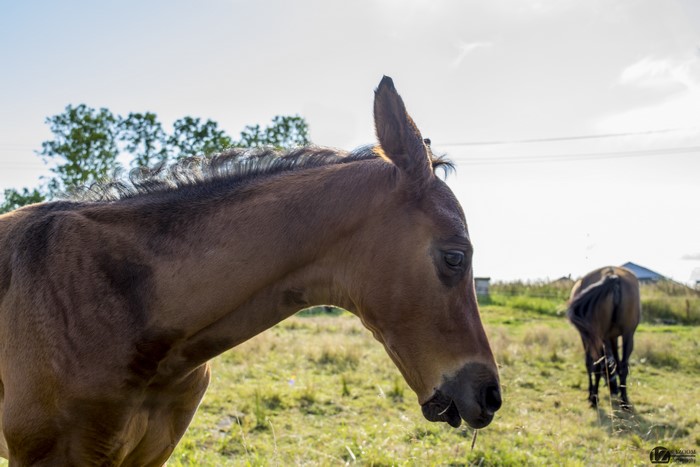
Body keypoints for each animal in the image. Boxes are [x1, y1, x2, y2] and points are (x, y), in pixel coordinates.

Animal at [567, 266, 641, 410]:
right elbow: (616, 361)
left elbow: (590, 364)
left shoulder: (587, 338)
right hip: (628, 334)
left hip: (597, 335)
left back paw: (594, 398)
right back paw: (624, 401)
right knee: (624, 366)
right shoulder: (613, 337)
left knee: (597, 365)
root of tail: (612, 275)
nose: (614, 390)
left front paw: (591, 394)